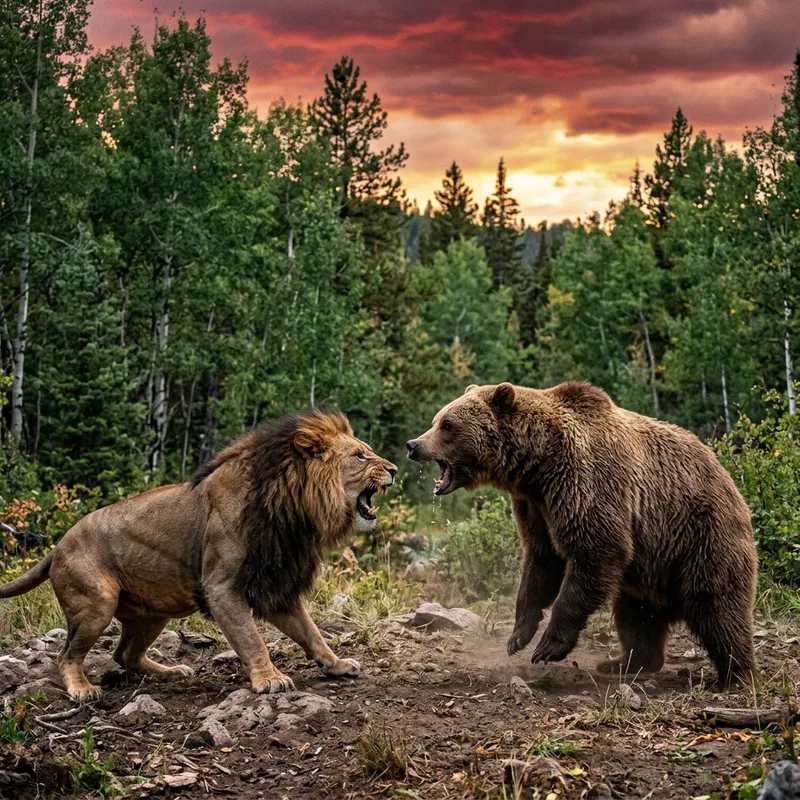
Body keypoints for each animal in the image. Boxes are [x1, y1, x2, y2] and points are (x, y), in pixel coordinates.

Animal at [0, 410, 397, 701]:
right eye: (361, 455)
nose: (394, 469)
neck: (294, 510)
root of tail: (57, 546)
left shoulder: (274, 584)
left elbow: (312, 633)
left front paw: (337, 664)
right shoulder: (221, 587)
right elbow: (251, 639)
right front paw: (269, 679)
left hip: (152, 613)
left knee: (124, 655)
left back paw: (172, 672)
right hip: (97, 602)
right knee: (66, 655)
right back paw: (82, 689)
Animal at [406, 381, 757, 686]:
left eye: (447, 425)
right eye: (437, 419)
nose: (413, 445)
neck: (538, 465)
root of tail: (729, 479)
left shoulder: (585, 482)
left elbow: (595, 551)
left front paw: (547, 647)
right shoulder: (536, 506)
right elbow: (541, 562)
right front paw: (518, 636)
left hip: (700, 535)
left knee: (715, 606)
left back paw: (733, 674)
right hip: (652, 564)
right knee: (636, 615)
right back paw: (626, 662)